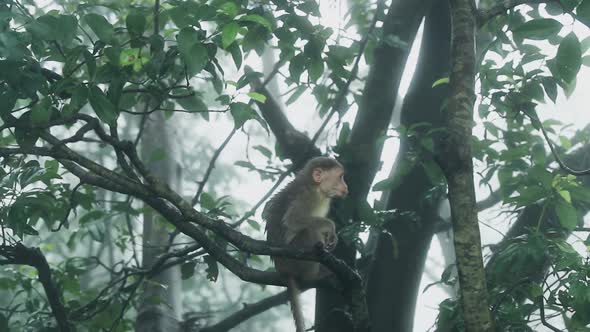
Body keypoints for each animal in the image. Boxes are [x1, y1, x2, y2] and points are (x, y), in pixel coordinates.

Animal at [264, 156, 352, 332]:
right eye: (340, 177)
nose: (346, 186)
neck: (315, 187)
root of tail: (283, 269)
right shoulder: (307, 196)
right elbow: (294, 220)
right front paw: (331, 227)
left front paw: (332, 237)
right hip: (296, 259)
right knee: (309, 231)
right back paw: (316, 274)